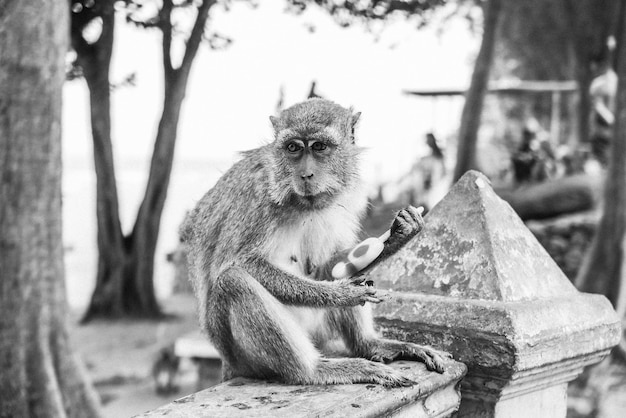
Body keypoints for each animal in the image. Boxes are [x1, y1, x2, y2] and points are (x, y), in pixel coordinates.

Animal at [180, 99, 448, 388]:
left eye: (319, 147)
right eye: (293, 148)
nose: (306, 174)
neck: (299, 202)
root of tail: (228, 364)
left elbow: (330, 265)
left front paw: (400, 233)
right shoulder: (255, 196)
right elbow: (236, 263)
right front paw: (343, 294)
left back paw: (370, 345)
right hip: (240, 354)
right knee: (233, 282)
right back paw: (315, 370)